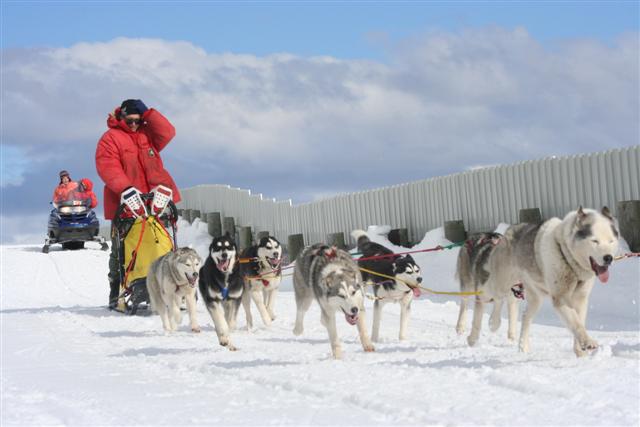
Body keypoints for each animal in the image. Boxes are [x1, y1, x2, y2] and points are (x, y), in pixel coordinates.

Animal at [510, 207, 620, 358]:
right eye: (595, 241)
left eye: (610, 241)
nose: (608, 258)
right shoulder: (560, 298)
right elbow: (576, 322)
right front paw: (587, 342)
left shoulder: (580, 299)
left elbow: (579, 320)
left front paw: (580, 352)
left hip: (536, 298)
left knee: (526, 316)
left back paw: (523, 347)